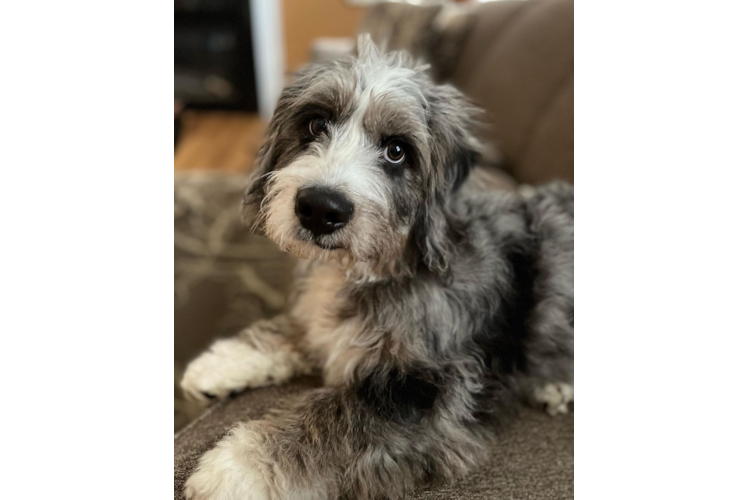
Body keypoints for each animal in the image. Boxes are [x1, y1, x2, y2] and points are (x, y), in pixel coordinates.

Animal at [180, 35, 572, 500]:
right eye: (316, 124)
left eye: (397, 150)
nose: (320, 208)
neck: (376, 266)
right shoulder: (319, 323)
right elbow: (290, 330)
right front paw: (222, 362)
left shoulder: (432, 391)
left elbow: (341, 415)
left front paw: (236, 469)